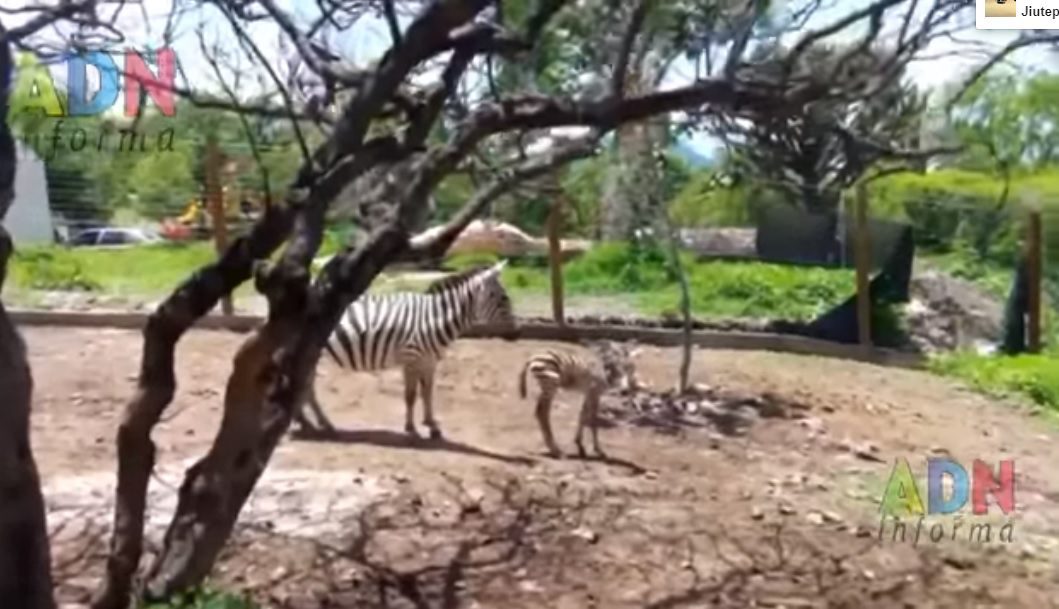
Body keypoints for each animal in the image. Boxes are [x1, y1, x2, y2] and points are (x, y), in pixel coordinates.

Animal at [298, 261, 516, 439]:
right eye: (503, 298)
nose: (515, 331)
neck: (432, 319)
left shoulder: (429, 362)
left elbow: (427, 393)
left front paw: (432, 425)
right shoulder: (411, 359)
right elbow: (410, 396)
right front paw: (411, 428)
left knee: (306, 387)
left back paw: (315, 423)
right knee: (304, 386)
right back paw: (311, 423)